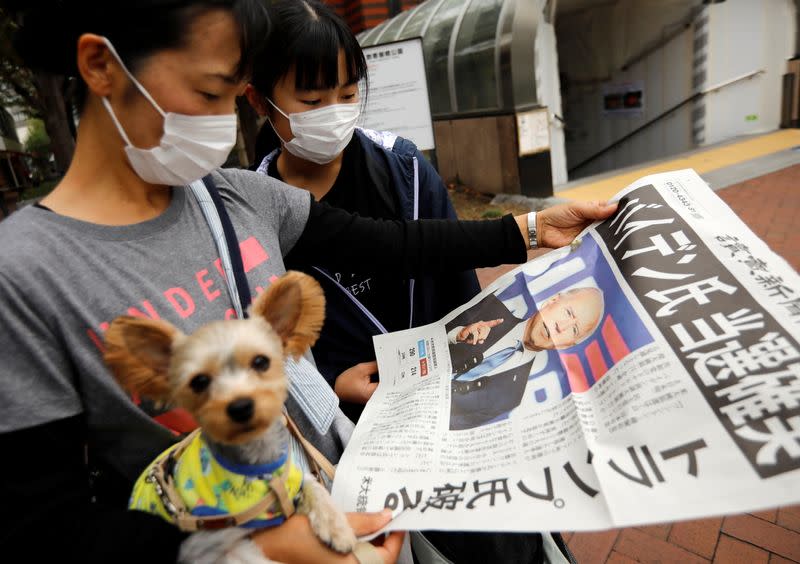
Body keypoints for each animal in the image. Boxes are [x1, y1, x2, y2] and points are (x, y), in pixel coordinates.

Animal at [103, 270, 356, 560]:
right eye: (199, 382)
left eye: (261, 362)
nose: (240, 406)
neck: (260, 470)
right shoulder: (213, 542)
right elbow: (250, 554)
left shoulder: (294, 479)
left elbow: (314, 487)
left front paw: (336, 528)